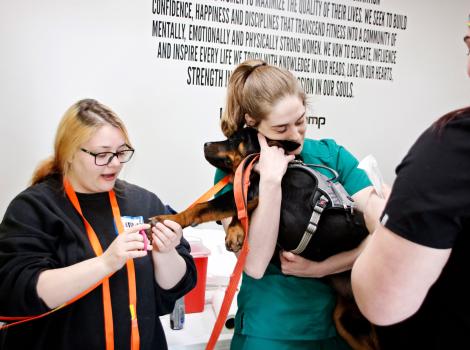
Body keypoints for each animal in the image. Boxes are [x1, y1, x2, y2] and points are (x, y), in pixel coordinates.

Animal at [147, 129, 378, 350]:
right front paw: (236, 233)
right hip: (344, 321)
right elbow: (239, 213)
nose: (206, 144)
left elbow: (202, 207)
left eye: (234, 139)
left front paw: (169, 219)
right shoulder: (250, 193)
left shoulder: (253, 191)